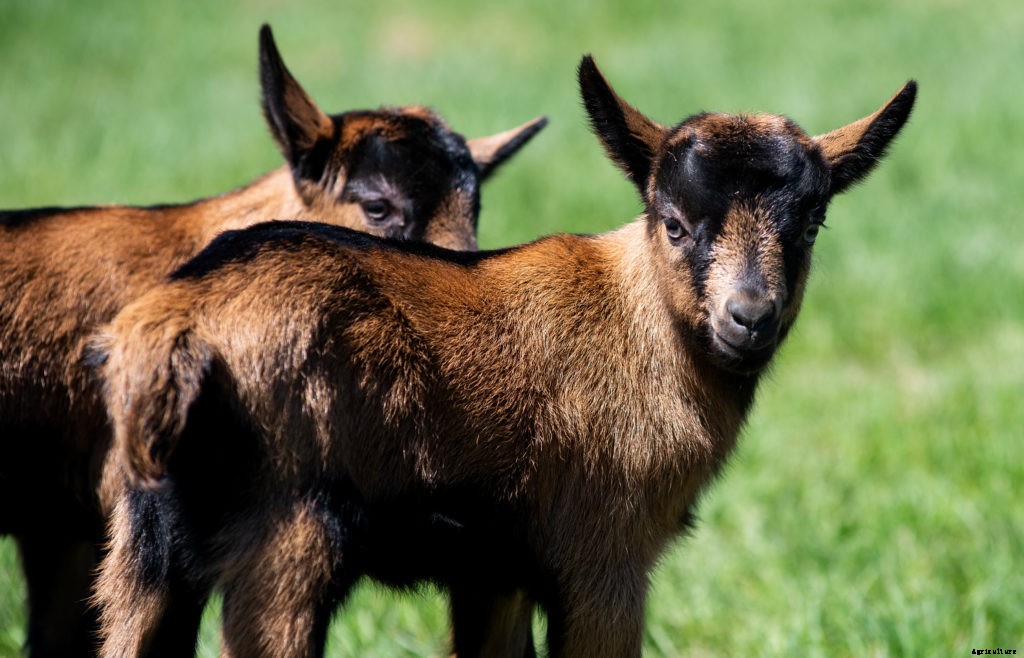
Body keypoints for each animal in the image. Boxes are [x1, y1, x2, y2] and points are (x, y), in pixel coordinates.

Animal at [93, 56, 915, 657]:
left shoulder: (496, 572)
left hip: (144, 559)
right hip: (285, 546)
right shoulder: (604, 559)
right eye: (674, 223)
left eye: (810, 224)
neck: (638, 326)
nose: (749, 319)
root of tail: (178, 324)